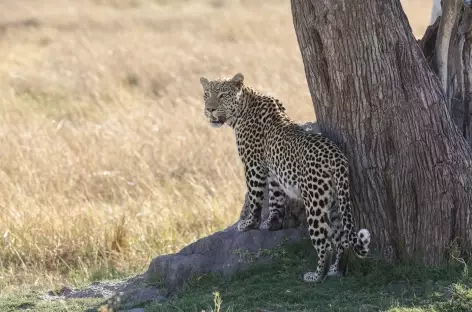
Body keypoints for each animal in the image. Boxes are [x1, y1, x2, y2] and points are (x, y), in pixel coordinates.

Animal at [197, 73, 370, 282]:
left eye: (222, 95)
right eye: (206, 95)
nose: (210, 109)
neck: (243, 108)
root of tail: (337, 156)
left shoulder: (253, 166)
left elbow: (255, 198)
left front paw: (249, 223)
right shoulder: (273, 172)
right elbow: (275, 197)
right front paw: (272, 222)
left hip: (315, 203)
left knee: (326, 244)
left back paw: (316, 276)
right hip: (336, 202)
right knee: (342, 240)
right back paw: (336, 270)